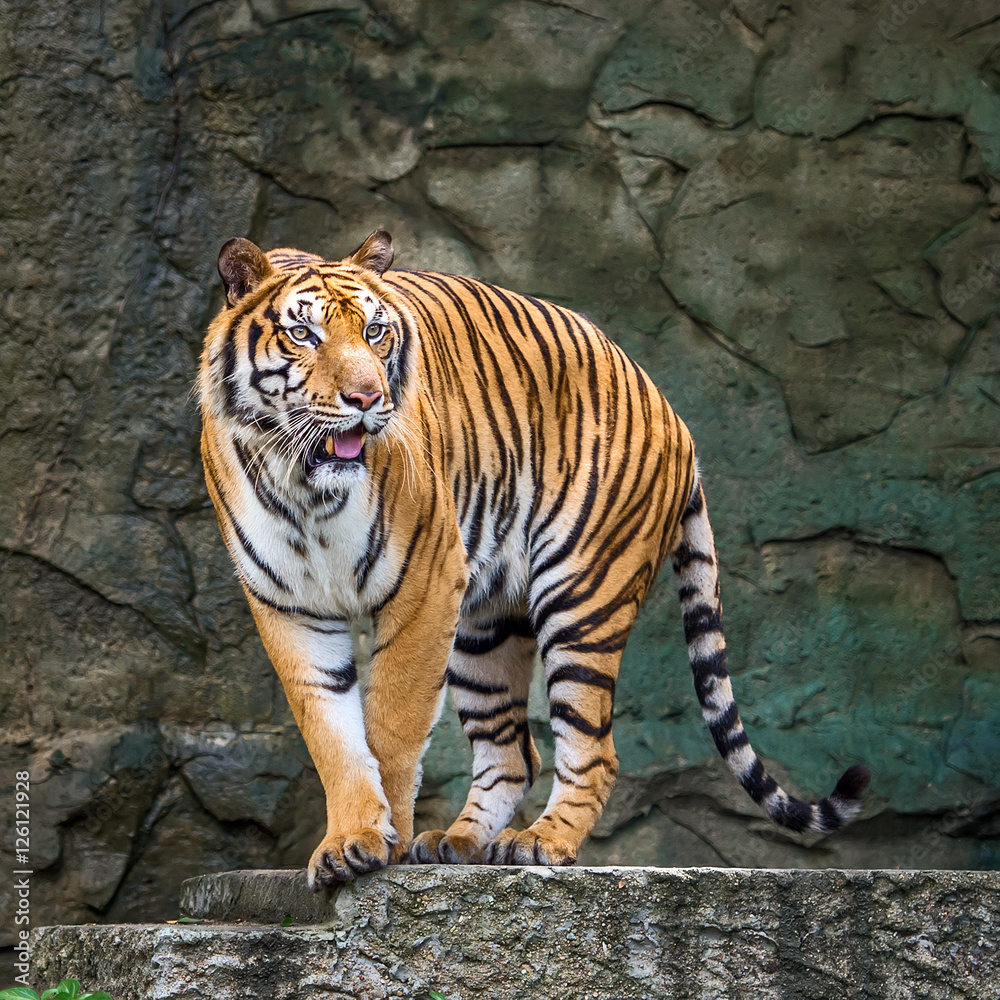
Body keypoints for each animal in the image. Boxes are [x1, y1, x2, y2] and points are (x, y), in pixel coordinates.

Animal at [198, 229, 870, 888]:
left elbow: (392, 728)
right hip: (484, 625)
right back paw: (459, 841)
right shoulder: (289, 606)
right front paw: (350, 842)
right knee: (515, 752)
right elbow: (332, 736)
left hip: (582, 595)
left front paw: (385, 844)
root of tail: (675, 415)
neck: (302, 483)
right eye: (304, 334)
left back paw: (541, 843)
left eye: (375, 332)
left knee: (594, 751)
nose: (368, 398)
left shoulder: (423, 586)